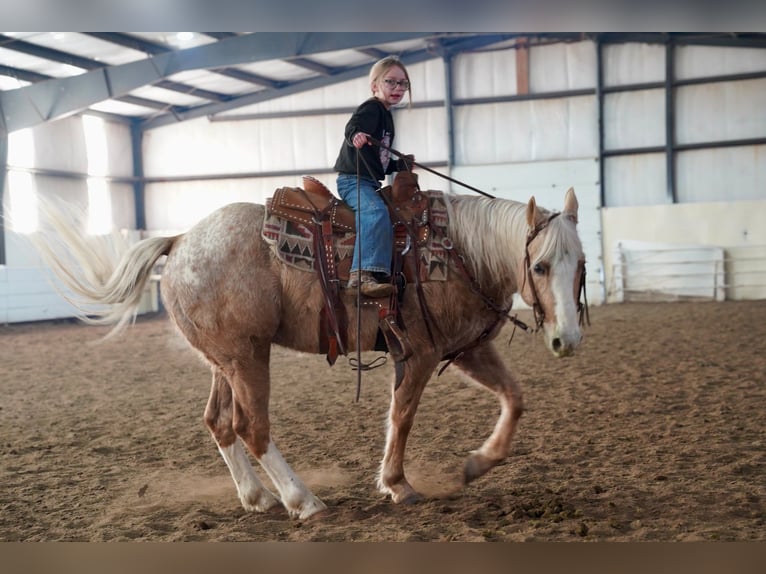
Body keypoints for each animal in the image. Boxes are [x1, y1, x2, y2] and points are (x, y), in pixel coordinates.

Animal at [27, 184, 584, 520]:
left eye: (580, 264)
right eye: (539, 266)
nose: (568, 340)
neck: (458, 252)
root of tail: (180, 240)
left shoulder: (467, 349)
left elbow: (515, 398)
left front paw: (478, 463)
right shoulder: (420, 353)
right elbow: (402, 417)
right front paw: (396, 484)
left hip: (224, 361)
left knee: (219, 422)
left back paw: (257, 497)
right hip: (249, 357)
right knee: (251, 426)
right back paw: (302, 499)